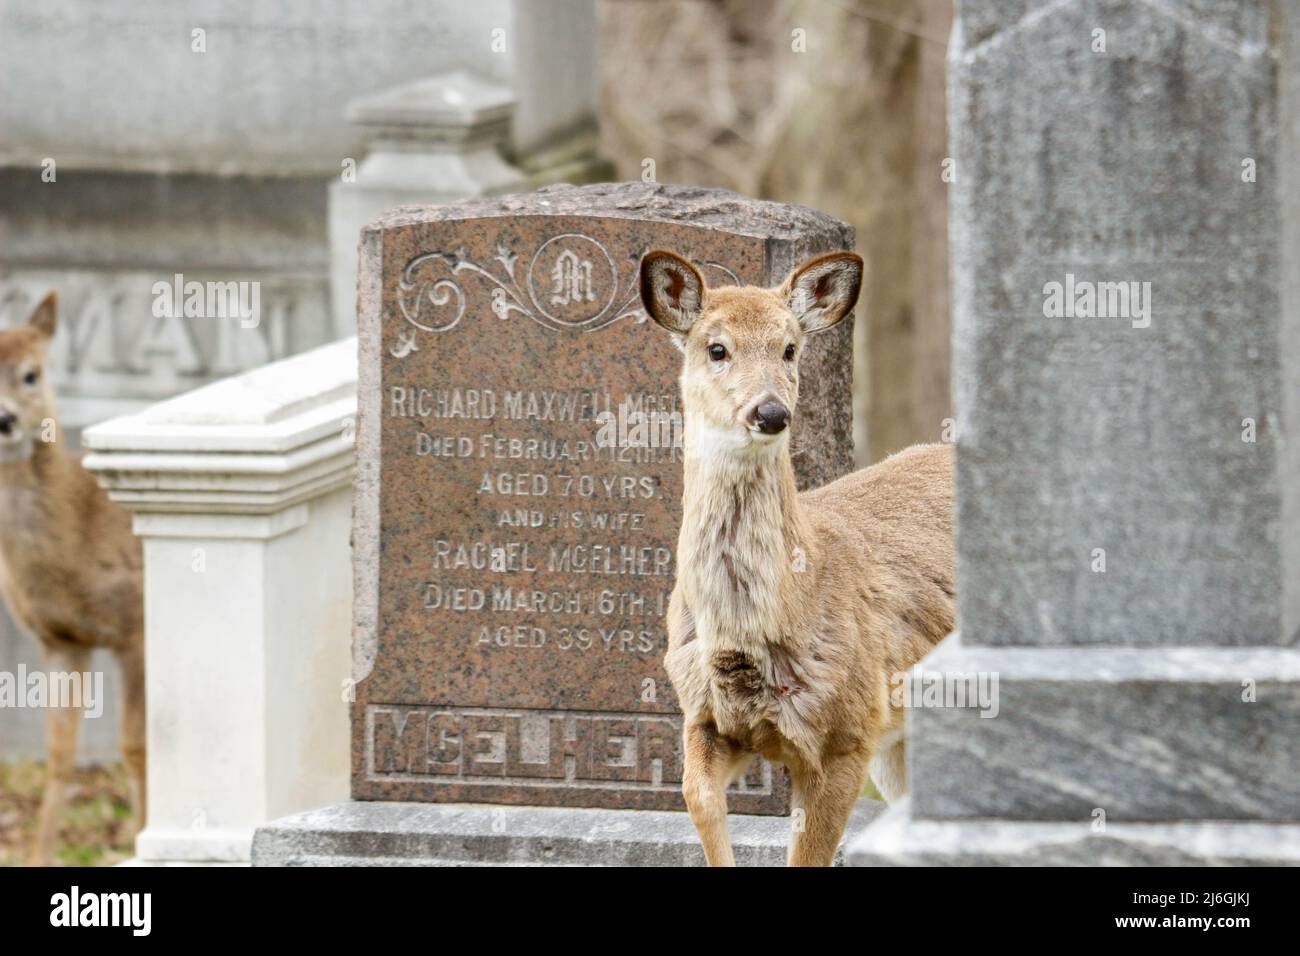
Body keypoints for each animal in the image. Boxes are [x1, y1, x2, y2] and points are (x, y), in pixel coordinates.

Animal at [0, 293, 146, 868]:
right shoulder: (61, 640)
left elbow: (133, 747)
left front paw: (140, 838)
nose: (4, 419)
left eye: (31, 373)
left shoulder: (134, 628)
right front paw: (39, 857)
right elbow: (60, 753)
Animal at [639, 252, 956, 868]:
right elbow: (699, 805)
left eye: (790, 348)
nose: (770, 411)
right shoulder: (703, 716)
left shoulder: (848, 732)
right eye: (716, 347)